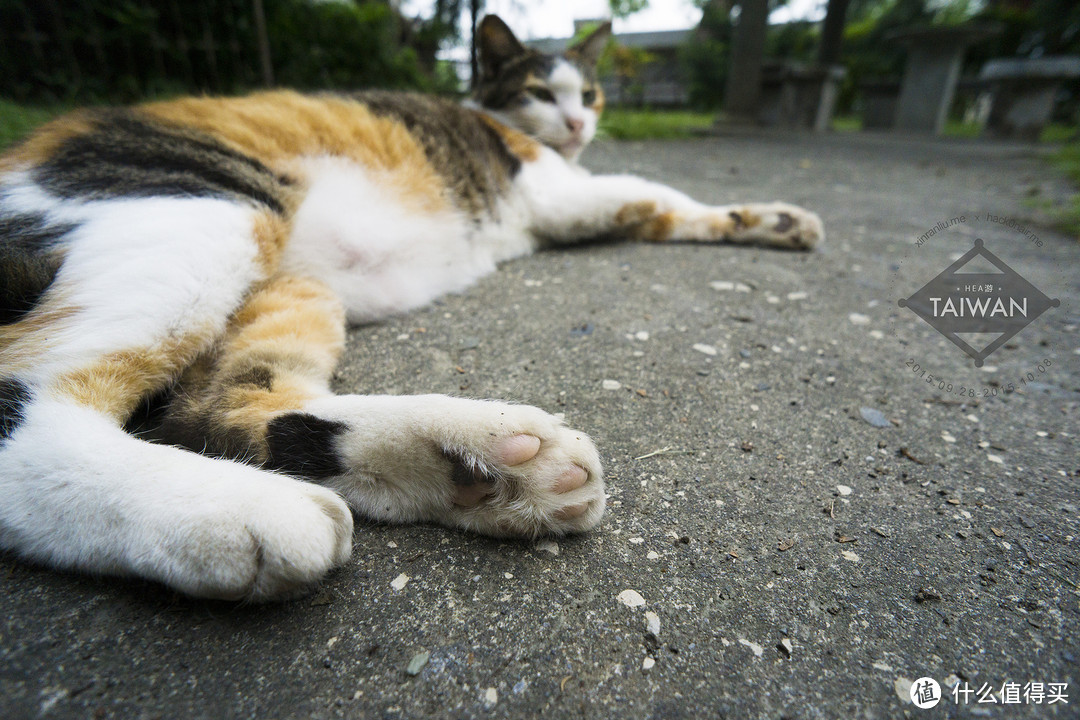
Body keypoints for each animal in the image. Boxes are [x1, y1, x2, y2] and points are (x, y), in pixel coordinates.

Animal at [0, 16, 820, 604]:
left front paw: (775, 223)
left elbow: (663, 209)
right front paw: (771, 215)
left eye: (586, 94)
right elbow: (662, 194)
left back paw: (469, 463)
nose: (578, 124)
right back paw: (231, 510)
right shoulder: (560, 191)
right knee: (29, 400)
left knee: (219, 409)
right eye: (539, 93)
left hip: (286, 284)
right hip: (199, 202)